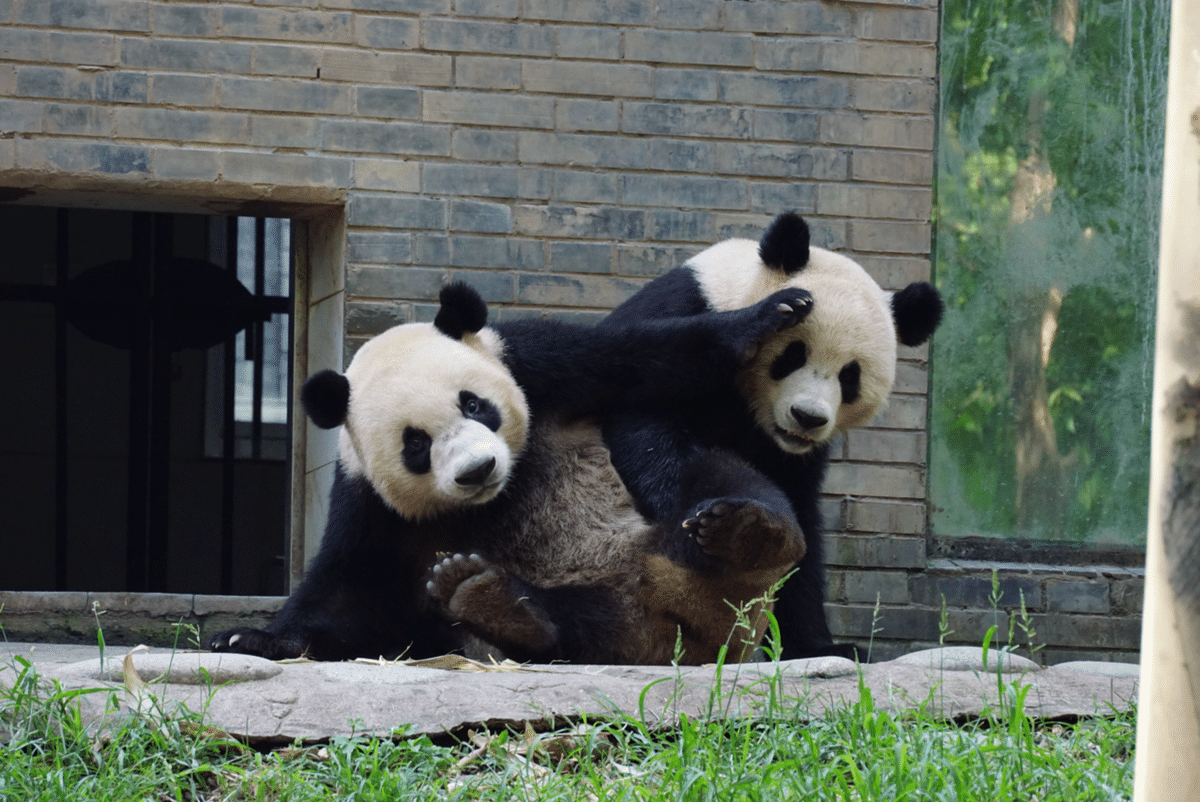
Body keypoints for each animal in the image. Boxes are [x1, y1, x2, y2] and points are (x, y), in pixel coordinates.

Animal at [209, 281, 815, 664]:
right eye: (415, 444)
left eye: (475, 405)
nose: (478, 469)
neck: (499, 495)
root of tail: (681, 617)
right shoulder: (366, 498)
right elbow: (345, 591)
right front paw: (251, 639)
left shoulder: (537, 362)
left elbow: (652, 357)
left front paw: (773, 312)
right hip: (602, 618)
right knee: (567, 631)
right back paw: (493, 602)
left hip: (681, 543)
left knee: (717, 477)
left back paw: (747, 535)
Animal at [598, 212, 945, 661]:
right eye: (793, 355)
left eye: (850, 376)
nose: (807, 417)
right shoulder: (679, 321)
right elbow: (649, 429)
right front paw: (712, 527)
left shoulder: (794, 455)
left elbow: (800, 521)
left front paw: (816, 645)